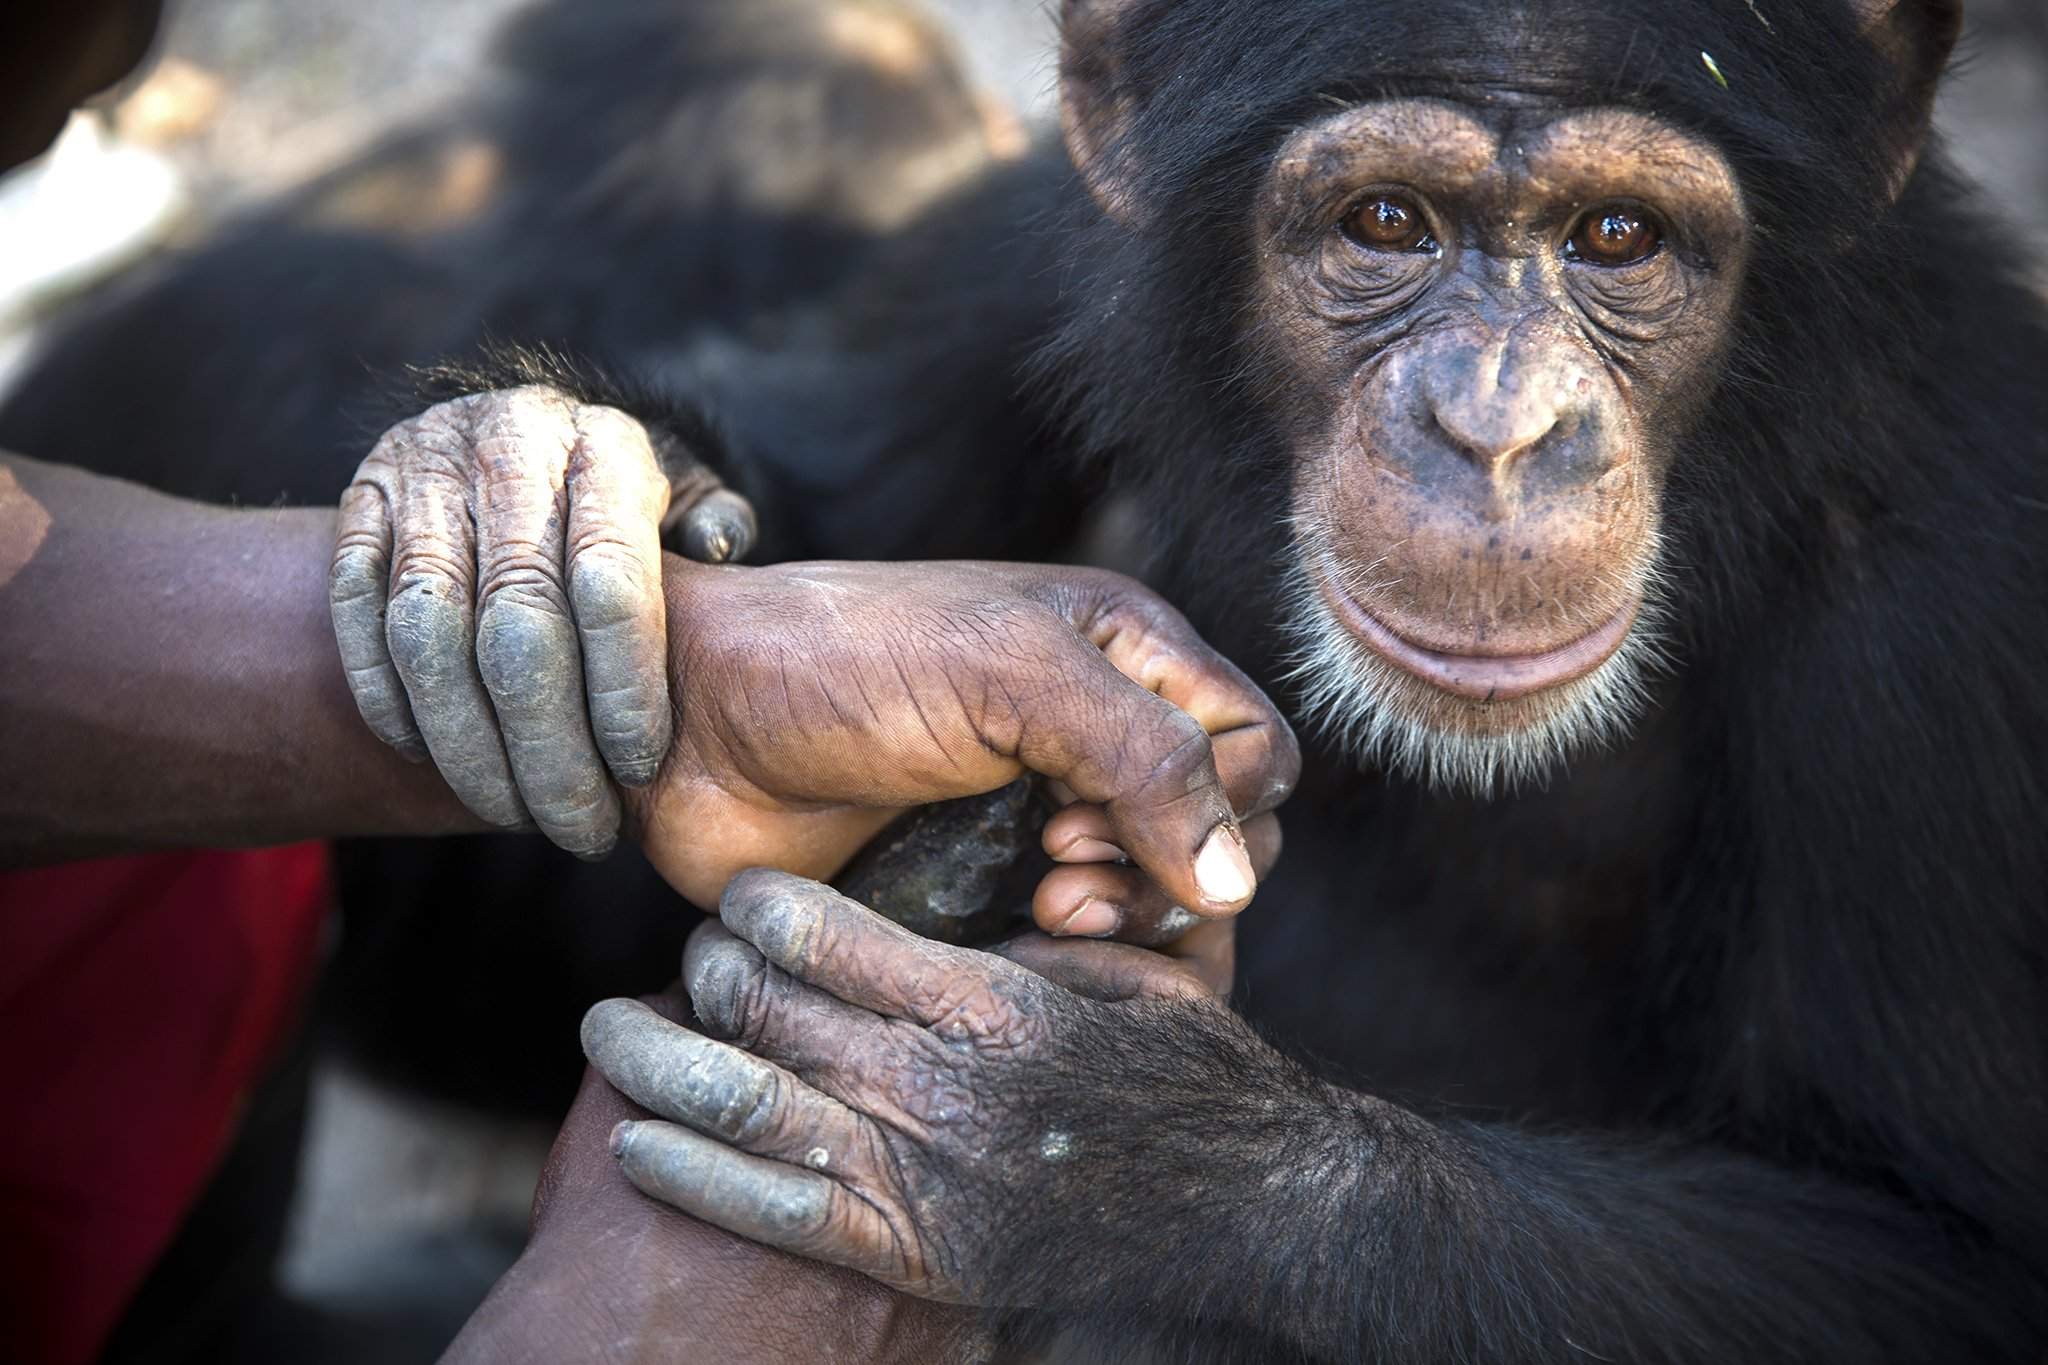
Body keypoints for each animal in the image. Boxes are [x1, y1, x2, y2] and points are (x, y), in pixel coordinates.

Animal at [4, 0, 2048, 1358]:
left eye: (1620, 239)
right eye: (1385, 225)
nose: (1494, 427)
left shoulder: (1957, 593)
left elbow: (1947, 1253)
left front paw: (1083, 1155)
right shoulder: (1023, 258)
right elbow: (824, 508)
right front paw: (529, 478)